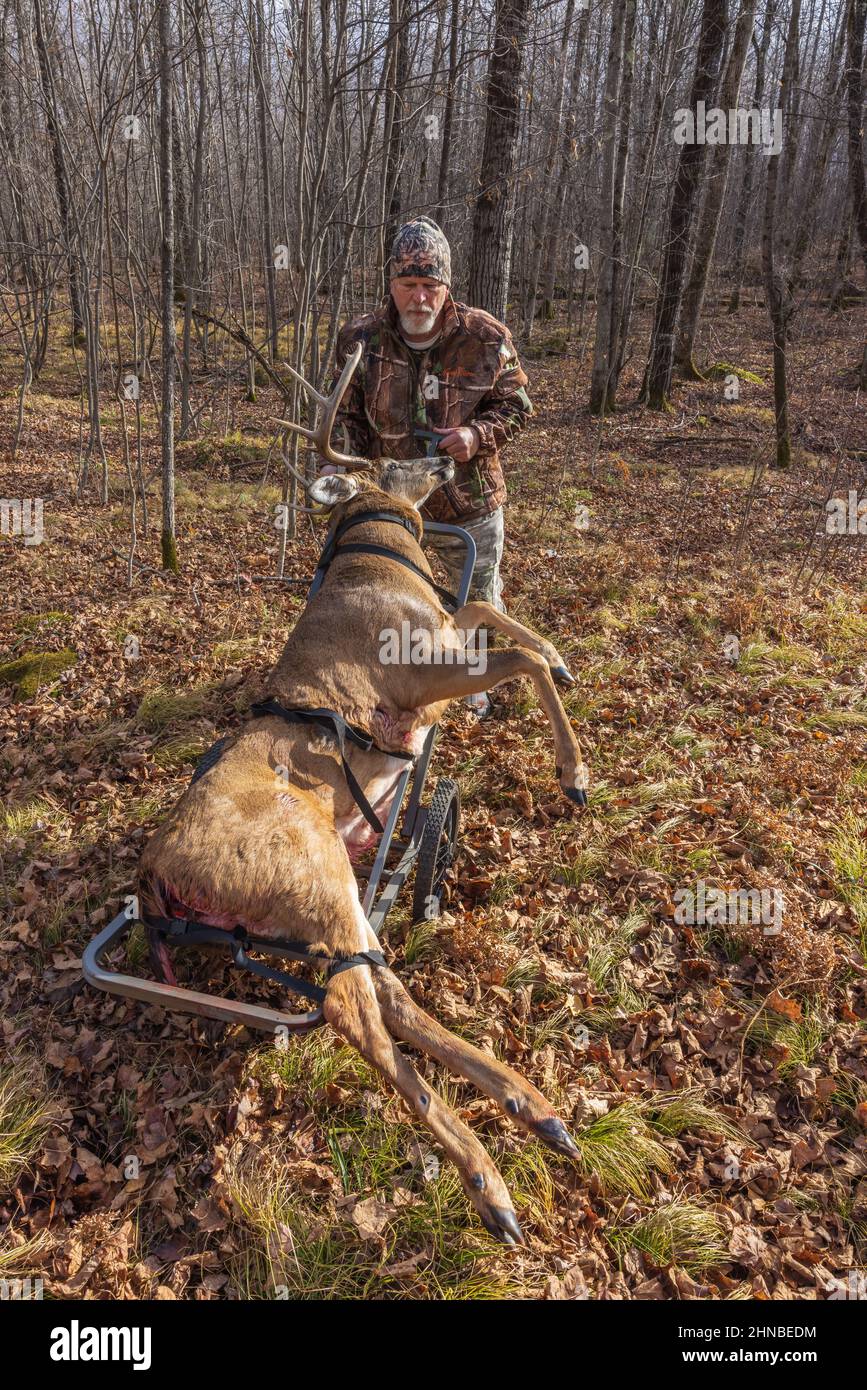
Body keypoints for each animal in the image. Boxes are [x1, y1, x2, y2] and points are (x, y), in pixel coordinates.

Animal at [140, 341, 589, 1245]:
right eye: (396, 457)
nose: (443, 451)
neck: (379, 558)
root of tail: (156, 873)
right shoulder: (417, 672)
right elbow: (508, 643)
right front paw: (573, 772)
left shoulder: (442, 646)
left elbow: (492, 611)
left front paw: (561, 658)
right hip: (306, 864)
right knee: (355, 1005)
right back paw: (489, 1181)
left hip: (331, 883)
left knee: (384, 986)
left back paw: (534, 1107)